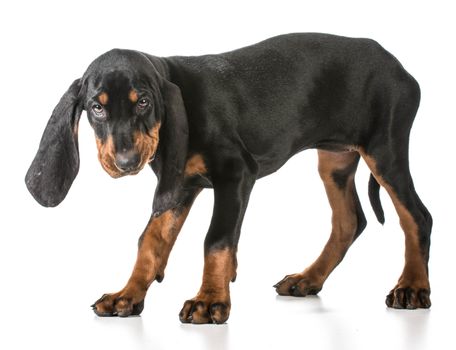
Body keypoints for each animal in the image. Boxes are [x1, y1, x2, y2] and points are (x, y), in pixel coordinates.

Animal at [25, 32, 432, 322]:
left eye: (143, 101)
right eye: (97, 107)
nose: (125, 161)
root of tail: (398, 66)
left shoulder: (235, 175)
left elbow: (216, 240)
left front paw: (209, 300)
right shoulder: (178, 185)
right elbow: (151, 241)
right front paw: (128, 295)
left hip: (385, 150)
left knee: (417, 216)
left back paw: (412, 287)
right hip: (334, 160)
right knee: (349, 221)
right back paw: (308, 279)